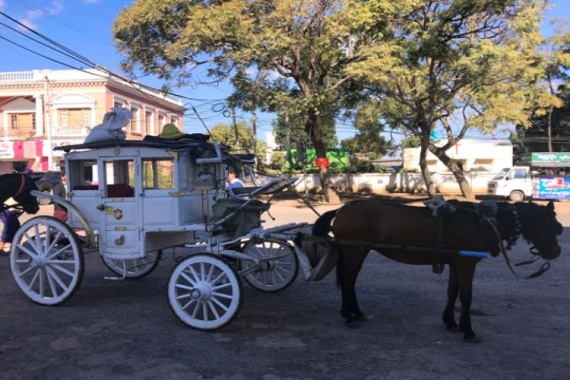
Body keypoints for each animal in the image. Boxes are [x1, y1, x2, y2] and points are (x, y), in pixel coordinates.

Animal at [312, 199, 560, 342]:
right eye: (550, 226)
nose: (556, 252)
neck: (485, 222)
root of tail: (341, 210)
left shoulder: (456, 262)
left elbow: (453, 292)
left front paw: (450, 322)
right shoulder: (467, 263)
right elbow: (466, 296)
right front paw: (468, 330)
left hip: (358, 251)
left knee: (350, 281)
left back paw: (355, 313)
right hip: (354, 251)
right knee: (348, 281)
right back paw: (349, 316)